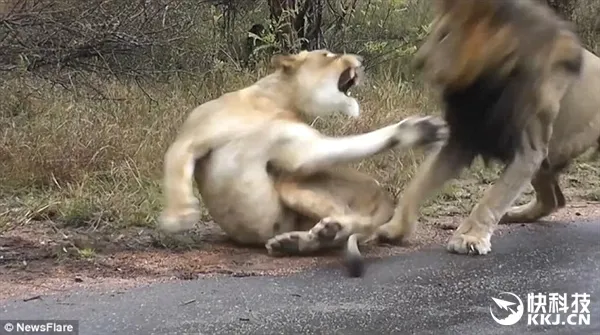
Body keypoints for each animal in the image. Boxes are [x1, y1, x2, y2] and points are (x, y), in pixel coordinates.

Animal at [157, 49, 448, 276]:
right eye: (329, 55)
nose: (361, 59)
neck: (273, 102)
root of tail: (385, 196)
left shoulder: (301, 149)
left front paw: (414, 131)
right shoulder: (190, 138)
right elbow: (175, 170)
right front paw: (179, 216)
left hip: (293, 185)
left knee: (355, 222)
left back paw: (320, 233)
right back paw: (298, 241)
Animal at [372, 0, 596, 256]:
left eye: (445, 34)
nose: (418, 63)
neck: (486, 81)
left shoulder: (529, 149)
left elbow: (493, 197)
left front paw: (470, 237)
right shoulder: (463, 137)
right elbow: (418, 184)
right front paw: (394, 229)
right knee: (555, 200)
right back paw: (516, 214)